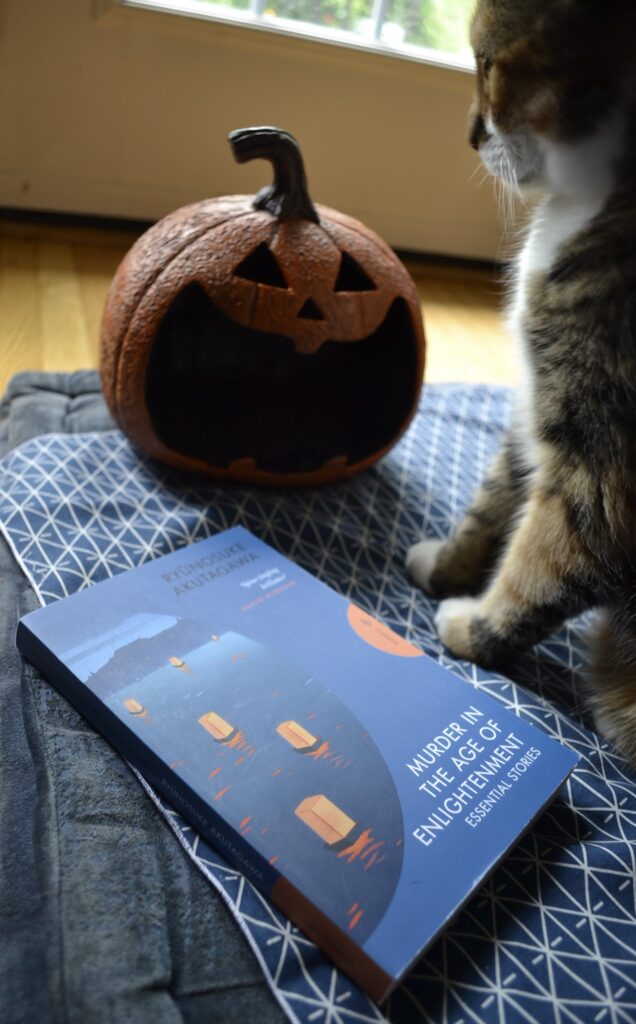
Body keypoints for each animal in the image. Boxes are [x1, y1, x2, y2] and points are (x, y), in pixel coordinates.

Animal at [403, 0, 634, 770]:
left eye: (485, 64)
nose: (470, 135)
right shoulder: (534, 404)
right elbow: (492, 503)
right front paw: (445, 570)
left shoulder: (602, 477)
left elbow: (536, 571)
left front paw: (469, 629)